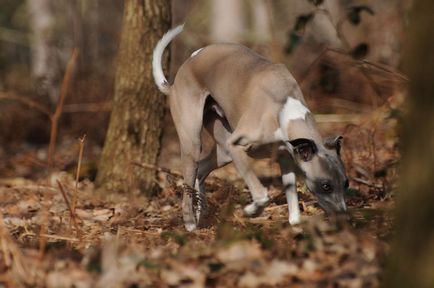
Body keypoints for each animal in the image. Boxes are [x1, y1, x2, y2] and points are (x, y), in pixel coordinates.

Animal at [153, 24, 350, 232]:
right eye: (326, 185)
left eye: (346, 183)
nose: (345, 218)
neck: (283, 106)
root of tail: (175, 80)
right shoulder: (236, 145)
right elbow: (262, 195)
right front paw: (251, 211)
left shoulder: (285, 157)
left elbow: (292, 198)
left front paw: (295, 225)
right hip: (194, 143)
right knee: (188, 179)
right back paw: (190, 223)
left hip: (223, 150)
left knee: (201, 171)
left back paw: (202, 213)